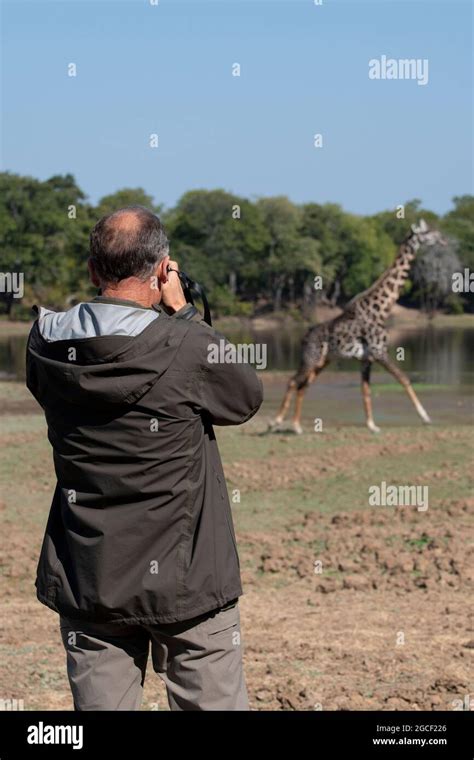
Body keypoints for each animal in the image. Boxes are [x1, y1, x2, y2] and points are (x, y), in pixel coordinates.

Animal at [270, 220, 444, 434]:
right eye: (427, 232)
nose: (442, 238)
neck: (382, 310)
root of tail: (304, 338)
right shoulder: (379, 352)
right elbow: (404, 379)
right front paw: (425, 417)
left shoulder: (366, 359)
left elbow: (366, 391)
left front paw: (372, 425)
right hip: (311, 359)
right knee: (293, 381)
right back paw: (275, 422)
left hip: (322, 361)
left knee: (303, 386)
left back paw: (296, 426)